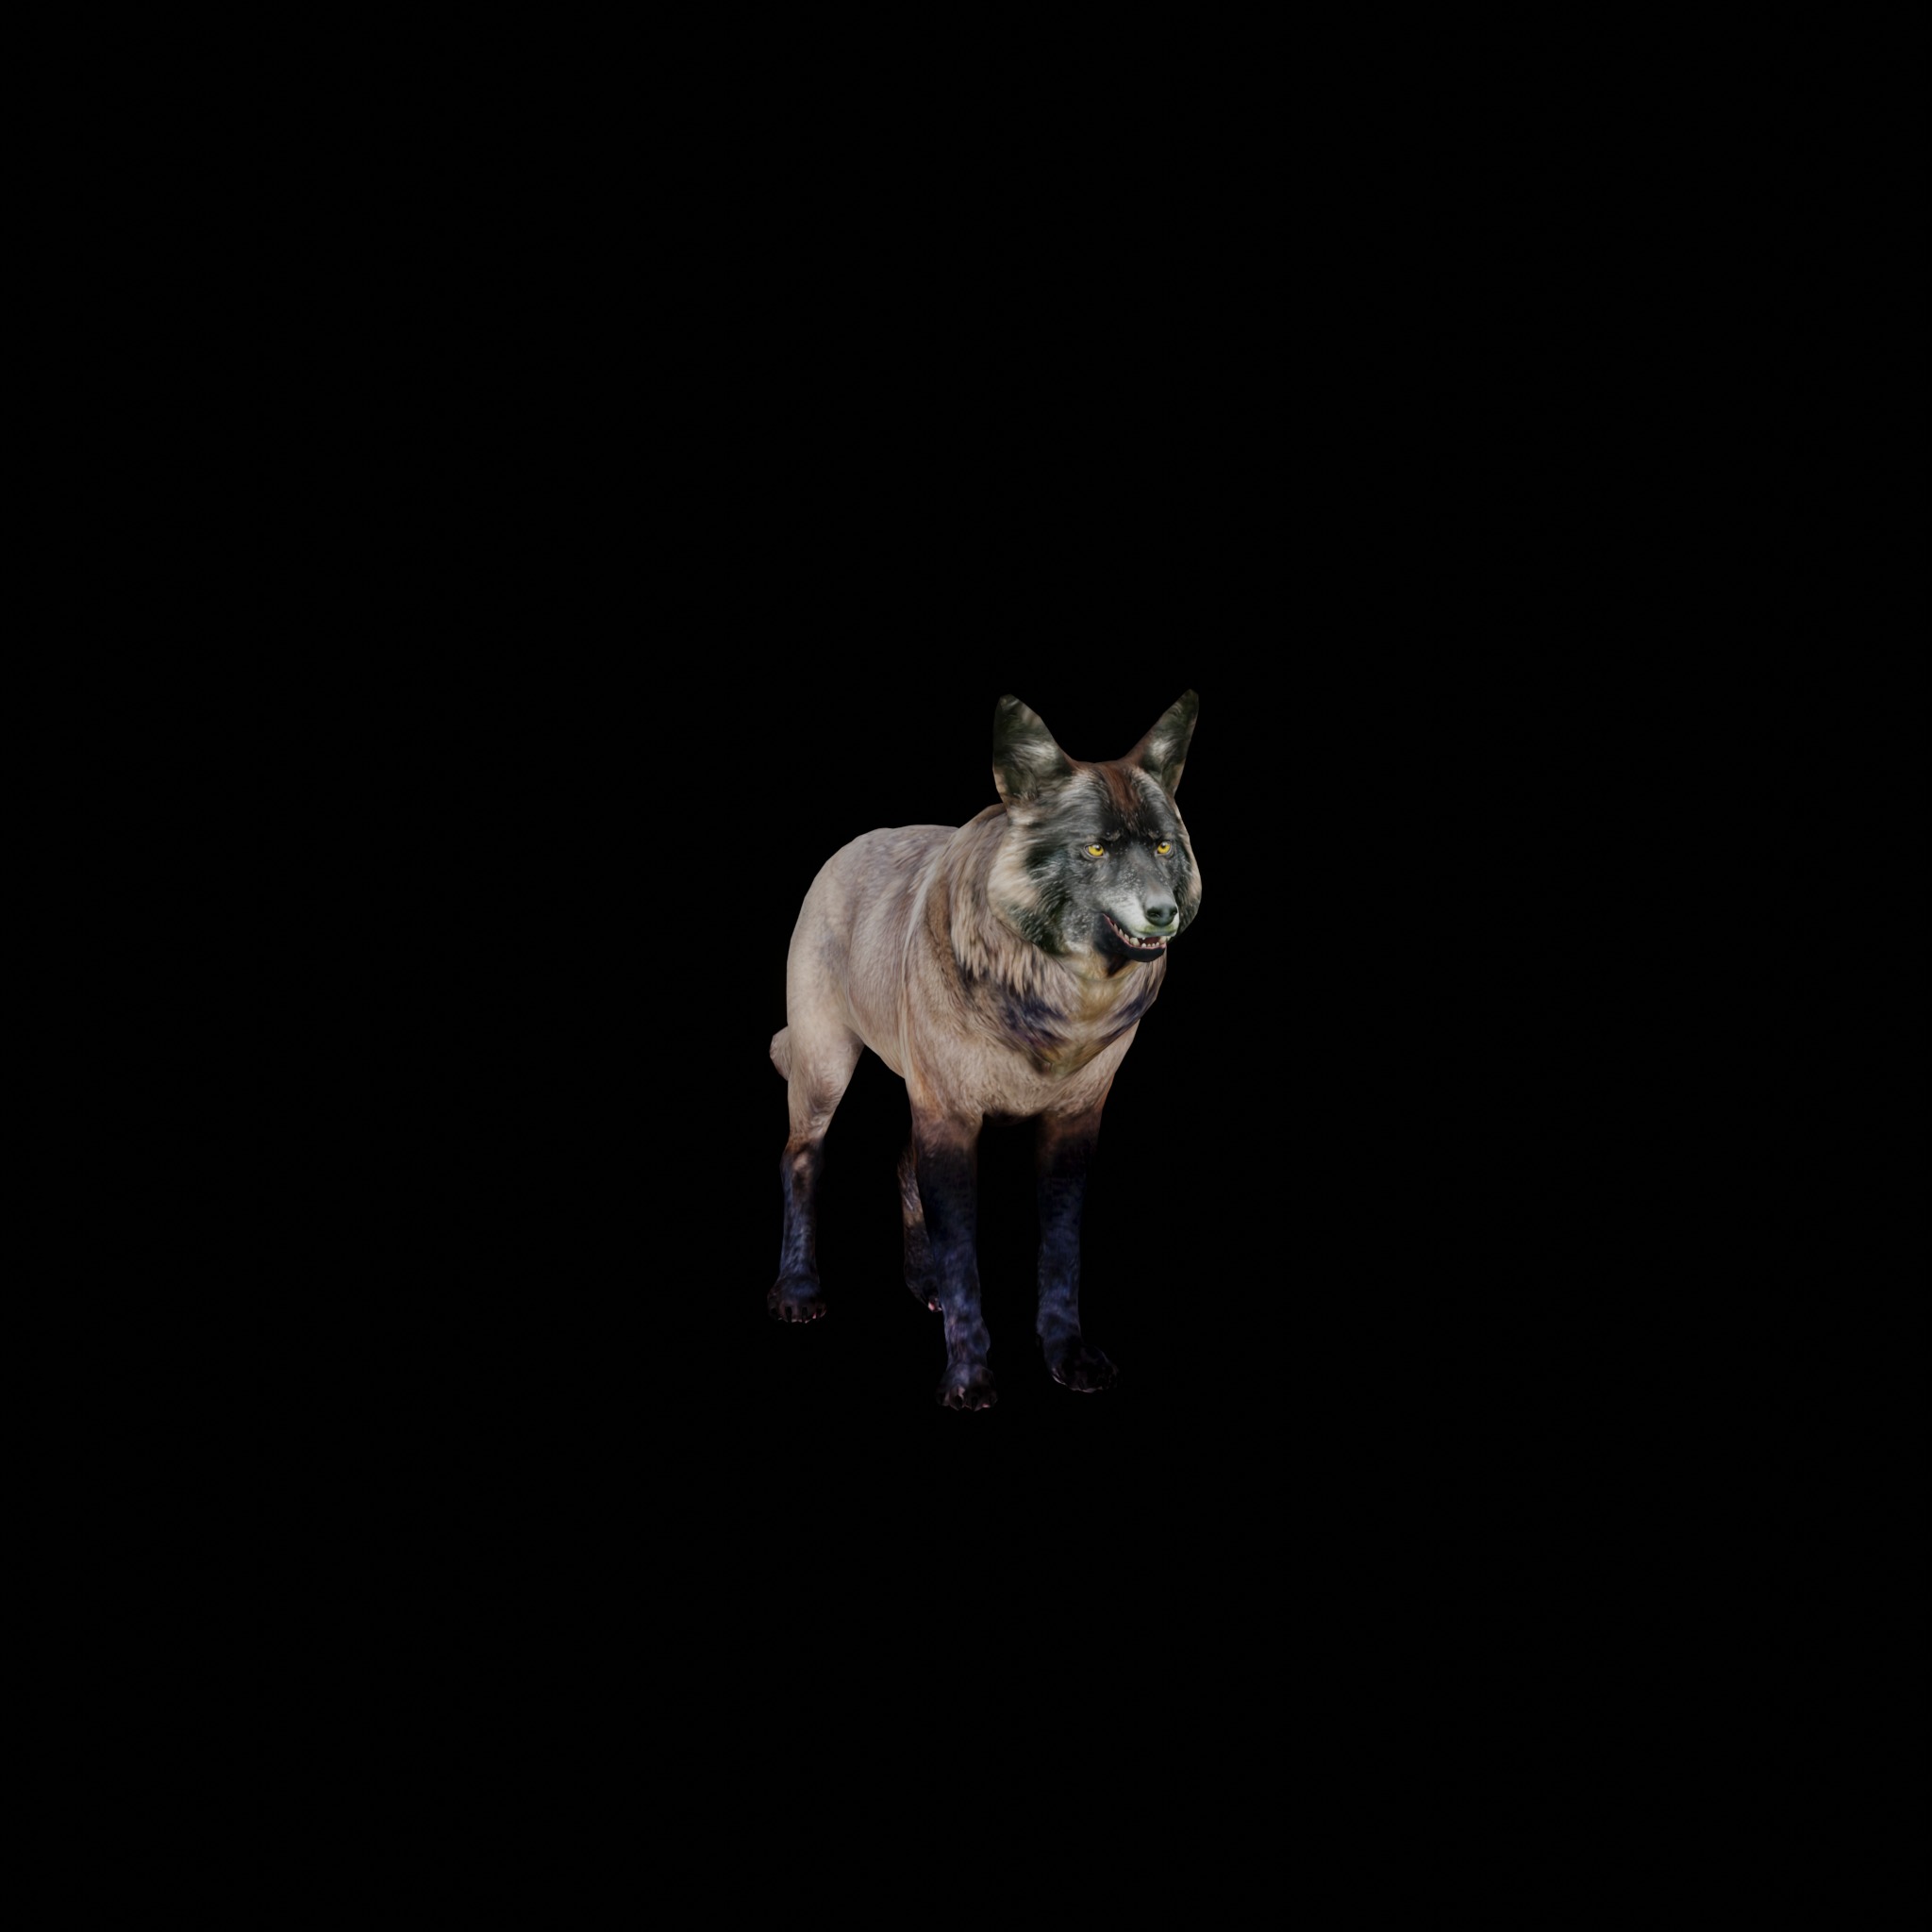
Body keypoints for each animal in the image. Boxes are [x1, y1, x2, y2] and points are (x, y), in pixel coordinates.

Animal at [767, 690, 1202, 1409]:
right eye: (1094, 848)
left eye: (1164, 846)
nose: (1162, 912)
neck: (1056, 1004)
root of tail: (850, 846)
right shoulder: (951, 1118)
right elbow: (964, 1258)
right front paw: (969, 1375)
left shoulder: (1070, 1126)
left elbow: (1061, 1255)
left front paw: (1068, 1354)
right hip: (826, 1071)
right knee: (801, 1159)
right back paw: (798, 1291)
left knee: (900, 1163)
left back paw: (923, 1285)